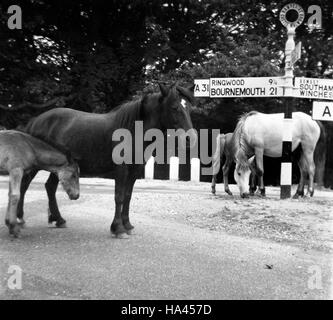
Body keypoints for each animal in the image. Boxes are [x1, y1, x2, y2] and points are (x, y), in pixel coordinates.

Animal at [19, 84, 196, 239]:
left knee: (49, 187)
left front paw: (127, 225)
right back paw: (20, 219)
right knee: (24, 186)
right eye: (174, 107)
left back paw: (58, 219)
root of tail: (36, 120)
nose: (191, 138)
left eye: (188, 108)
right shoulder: (121, 170)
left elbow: (128, 196)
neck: (132, 130)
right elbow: (119, 197)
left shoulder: (134, 172)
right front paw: (118, 228)